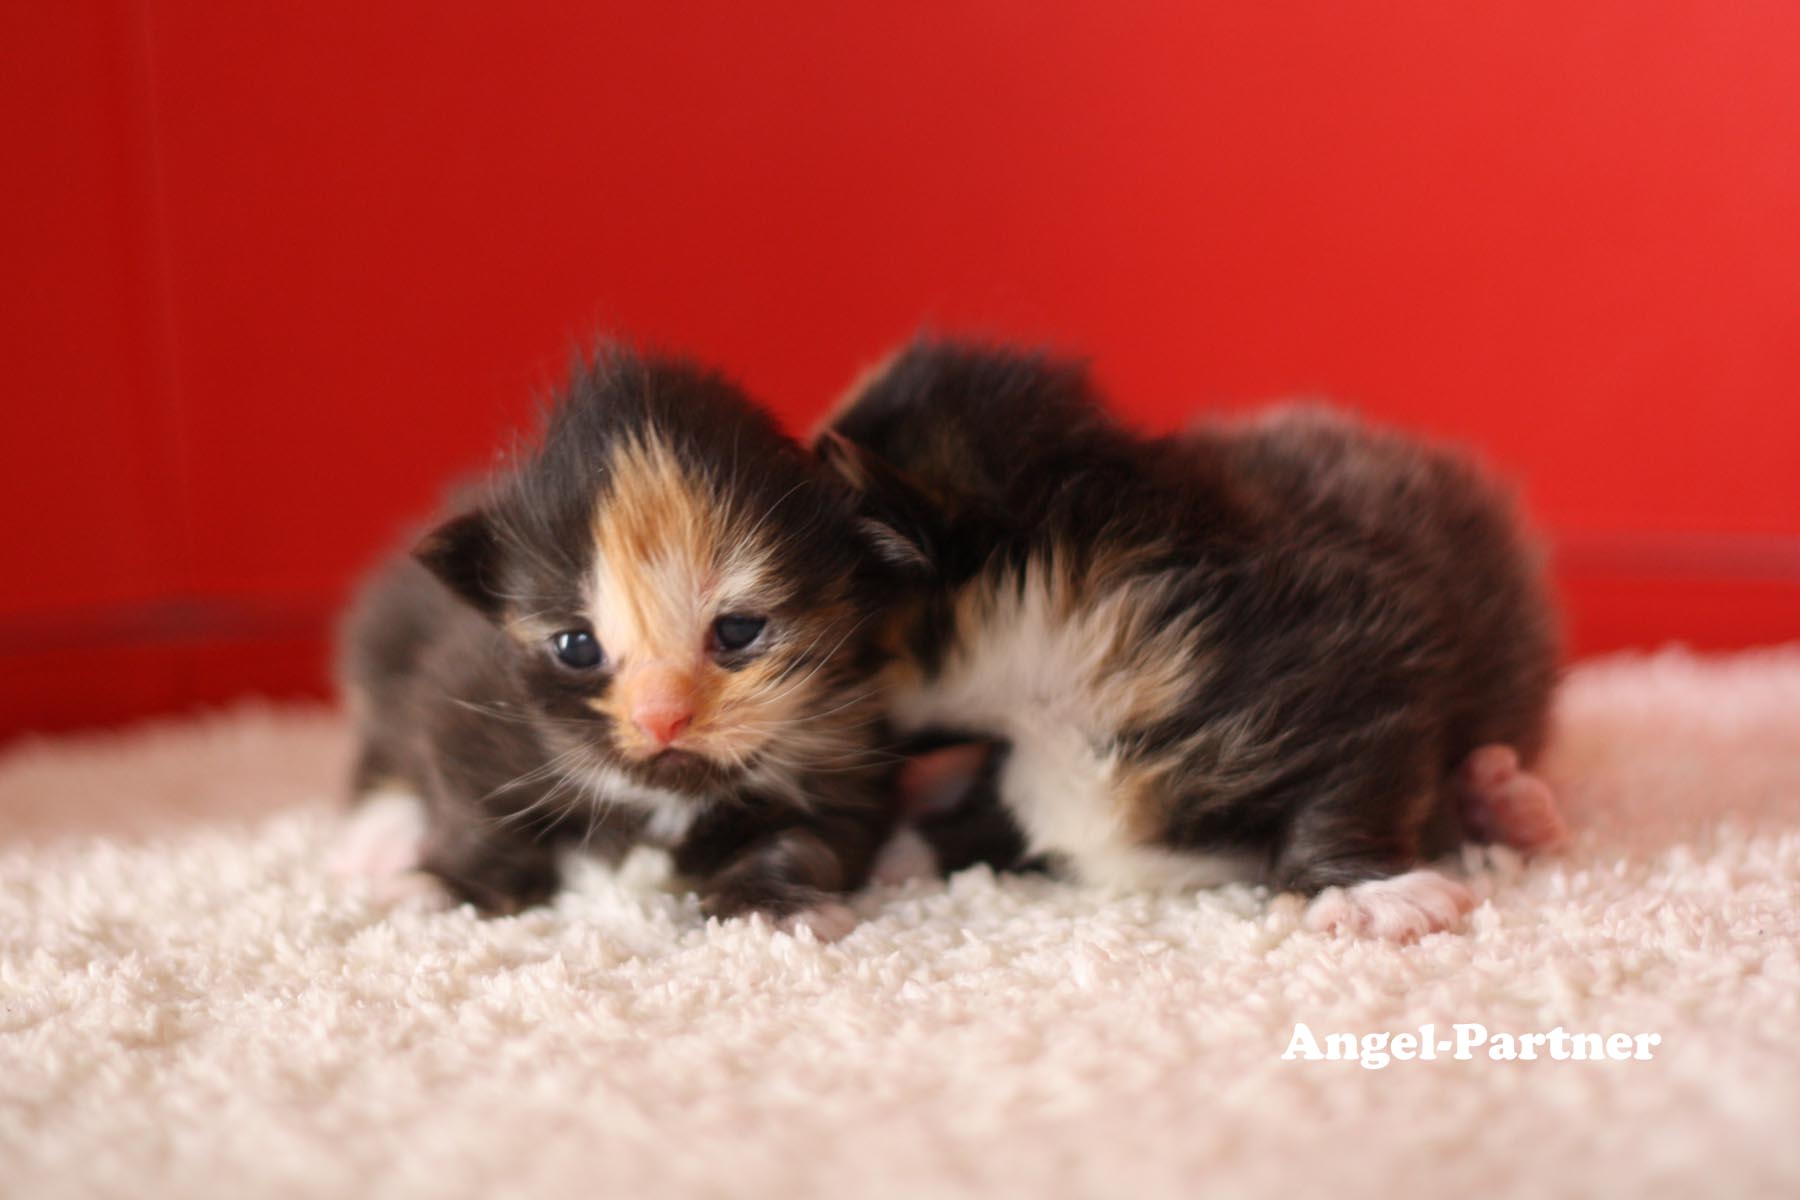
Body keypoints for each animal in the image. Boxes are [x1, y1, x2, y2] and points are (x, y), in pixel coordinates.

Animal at [336, 347, 921, 935]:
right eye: (576, 646)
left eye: (738, 630)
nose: (661, 720)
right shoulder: (467, 694)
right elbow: (475, 811)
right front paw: (446, 886)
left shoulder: (847, 746)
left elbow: (805, 837)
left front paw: (774, 904)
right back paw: (380, 831)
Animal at [824, 336, 1562, 935]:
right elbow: (985, 817)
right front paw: (897, 850)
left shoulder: (1344, 652)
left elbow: (1353, 779)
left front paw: (1367, 896)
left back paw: (1502, 804)